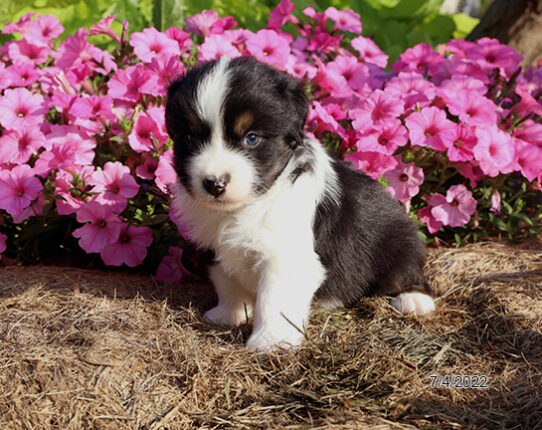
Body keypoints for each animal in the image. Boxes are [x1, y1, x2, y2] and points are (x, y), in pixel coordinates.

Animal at [166, 56, 438, 350]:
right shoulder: (214, 247)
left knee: (408, 273)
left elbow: (274, 300)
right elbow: (227, 283)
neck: (252, 203)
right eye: (190, 138)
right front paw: (229, 315)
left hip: (397, 243)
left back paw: (414, 300)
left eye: (252, 138)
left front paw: (271, 342)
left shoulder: (286, 256)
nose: (215, 183)